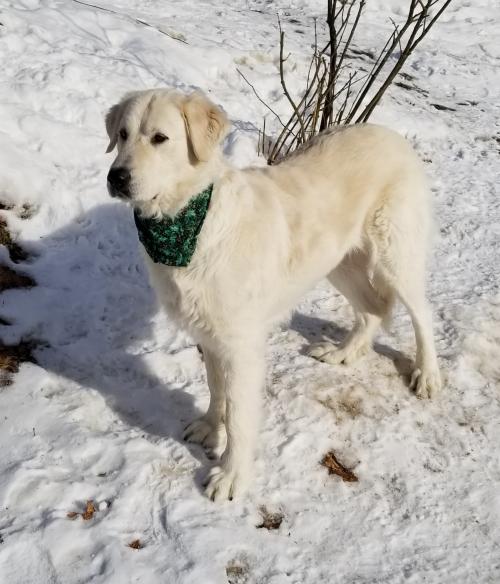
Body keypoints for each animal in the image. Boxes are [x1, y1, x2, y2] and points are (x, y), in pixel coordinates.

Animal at [105, 89, 442, 500]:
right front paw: (209, 427)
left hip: (395, 255)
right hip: (338, 260)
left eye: (160, 138)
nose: (116, 177)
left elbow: (239, 414)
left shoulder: (241, 344)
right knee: (373, 309)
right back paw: (342, 353)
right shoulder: (210, 334)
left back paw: (427, 375)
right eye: (122, 134)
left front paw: (231, 476)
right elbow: (216, 389)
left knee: (422, 313)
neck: (193, 224)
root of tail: (391, 134)